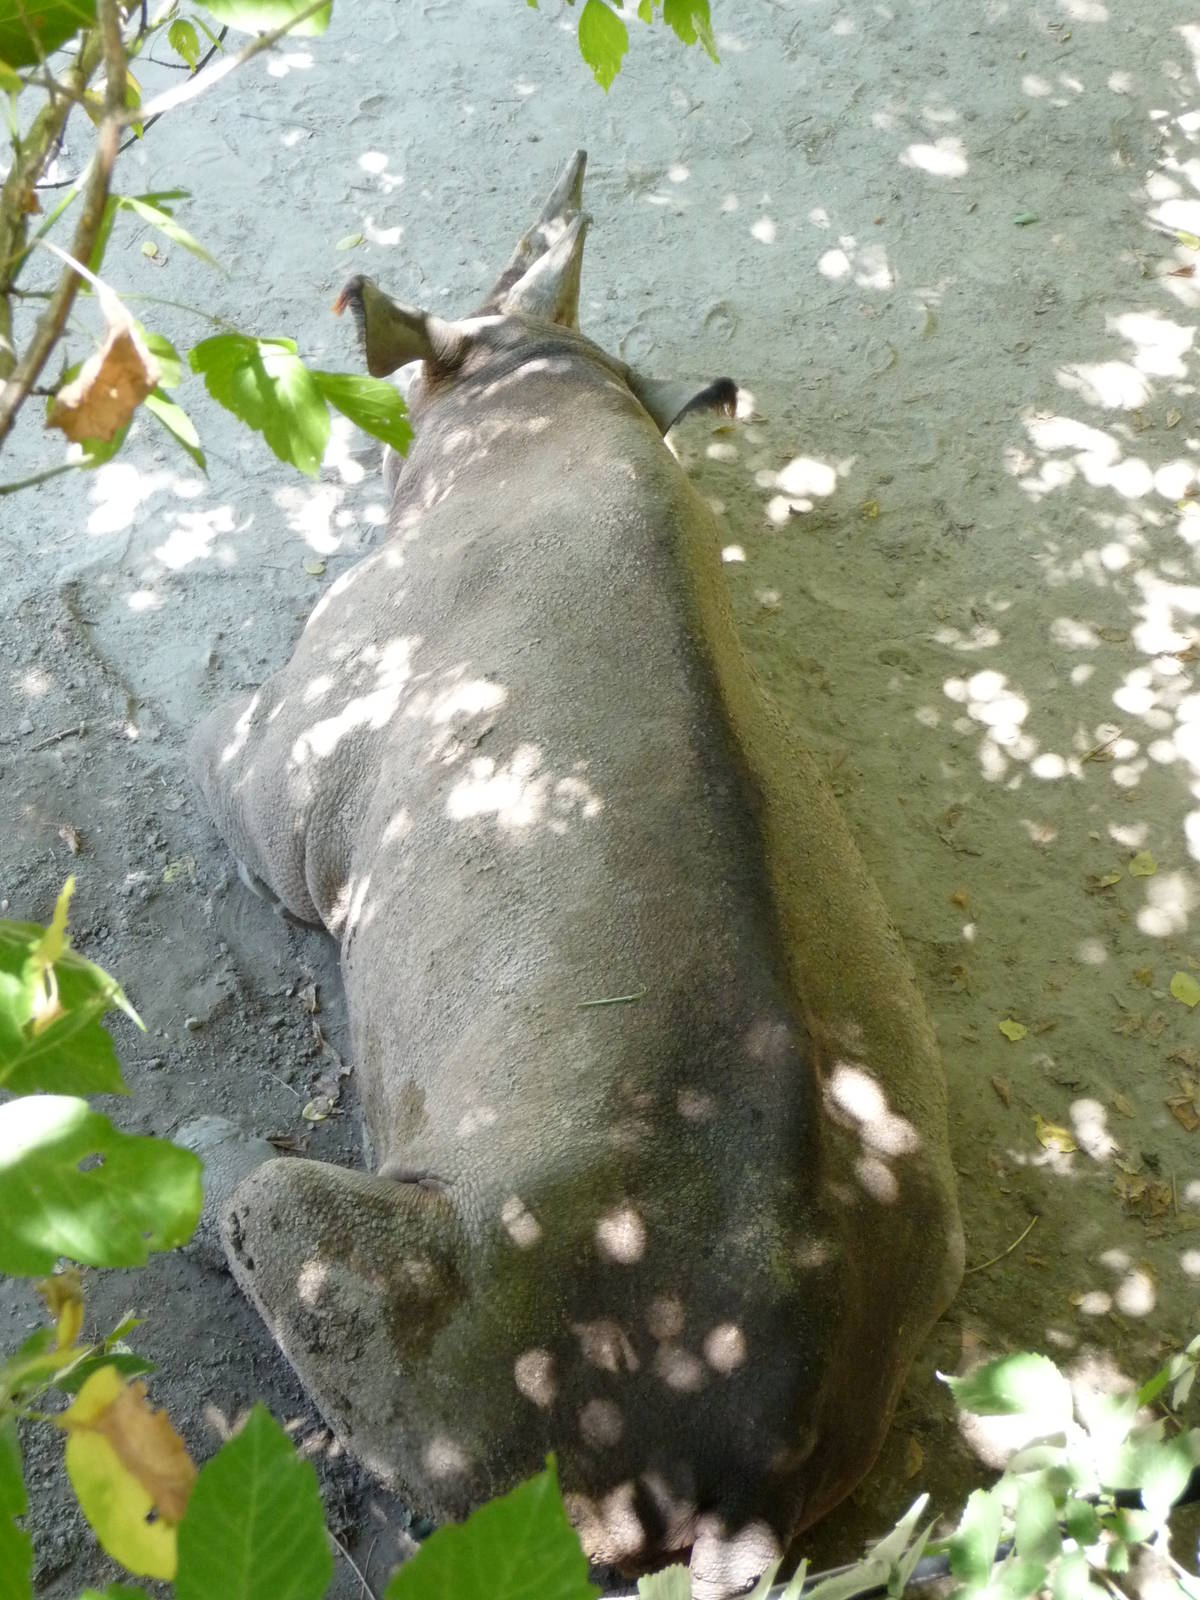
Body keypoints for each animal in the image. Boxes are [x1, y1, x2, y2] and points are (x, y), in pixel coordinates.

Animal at [187, 150, 963, 1598]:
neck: (540, 397)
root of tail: (742, 1491)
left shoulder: (286, 780)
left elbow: (218, 747)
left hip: (492, 1341)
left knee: (297, 1238)